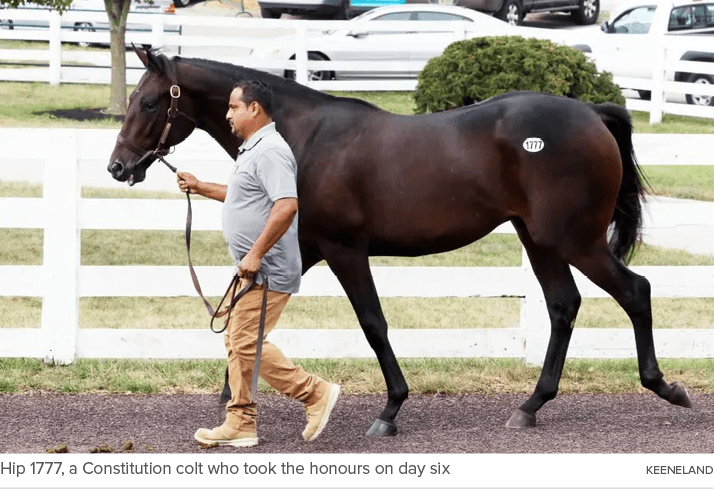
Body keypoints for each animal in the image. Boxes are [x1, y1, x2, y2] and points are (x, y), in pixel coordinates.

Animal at [110, 46, 688, 434]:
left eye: (149, 102)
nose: (118, 168)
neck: (304, 137)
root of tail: (592, 113)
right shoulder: (305, 248)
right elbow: (249, 316)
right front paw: (233, 396)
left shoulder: (344, 250)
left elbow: (373, 323)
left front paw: (391, 409)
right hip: (540, 240)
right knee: (564, 305)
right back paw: (530, 406)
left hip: (574, 240)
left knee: (634, 291)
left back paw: (666, 387)